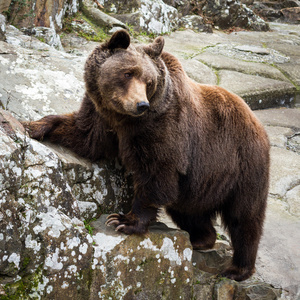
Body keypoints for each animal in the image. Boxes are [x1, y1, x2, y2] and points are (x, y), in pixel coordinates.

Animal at [24, 29, 270, 280]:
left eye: (148, 81)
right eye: (127, 73)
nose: (140, 104)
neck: (122, 118)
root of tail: (256, 120)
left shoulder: (161, 128)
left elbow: (156, 174)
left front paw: (124, 220)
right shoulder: (102, 115)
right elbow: (84, 136)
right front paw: (34, 125)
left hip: (241, 166)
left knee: (244, 218)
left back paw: (238, 268)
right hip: (197, 184)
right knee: (188, 210)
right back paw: (200, 239)